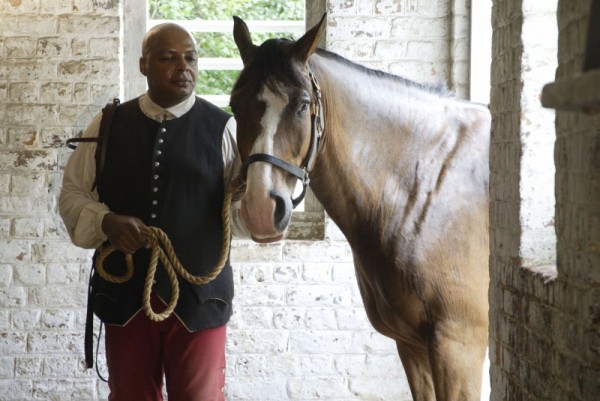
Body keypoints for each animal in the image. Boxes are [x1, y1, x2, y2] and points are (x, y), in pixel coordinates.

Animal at [232, 14, 490, 400]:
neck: (428, 184)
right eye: (235, 105)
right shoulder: (412, 346)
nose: (262, 209)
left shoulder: (459, 347)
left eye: (303, 105)